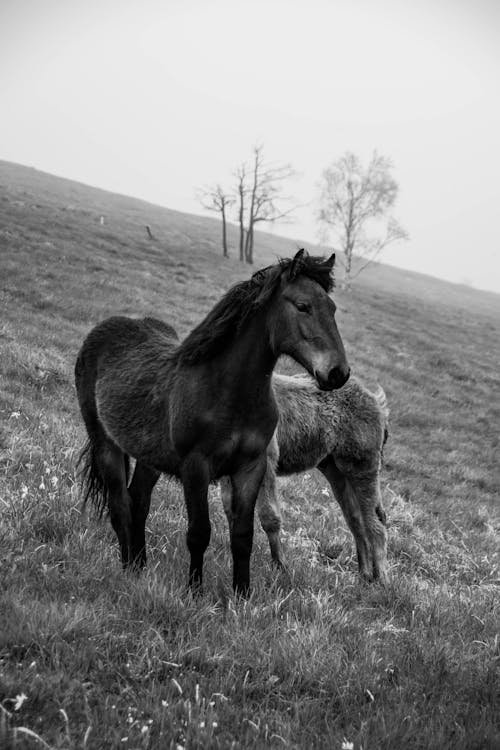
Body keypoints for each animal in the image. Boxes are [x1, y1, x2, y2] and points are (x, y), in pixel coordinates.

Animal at [75, 250, 348, 596]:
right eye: (302, 306)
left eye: (333, 308)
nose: (338, 373)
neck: (229, 393)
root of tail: (105, 328)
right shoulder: (196, 467)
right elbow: (199, 532)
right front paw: (194, 592)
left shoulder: (251, 467)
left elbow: (243, 536)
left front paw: (242, 595)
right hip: (105, 444)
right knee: (120, 504)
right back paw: (127, 570)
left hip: (150, 457)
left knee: (138, 501)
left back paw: (139, 567)